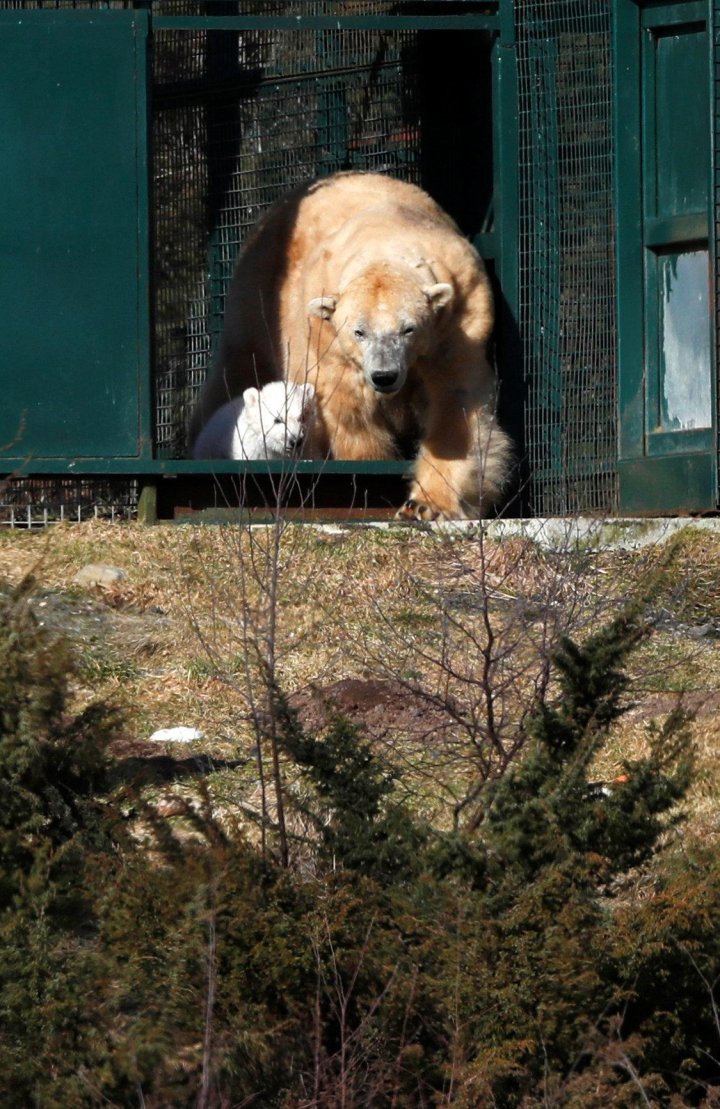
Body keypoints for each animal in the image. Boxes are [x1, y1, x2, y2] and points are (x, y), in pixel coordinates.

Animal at [189, 171, 512, 519]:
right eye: (359, 332)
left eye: (408, 329)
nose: (384, 376)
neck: (385, 236)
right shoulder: (325, 335)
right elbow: (350, 411)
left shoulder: (458, 318)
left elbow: (454, 403)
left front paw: (426, 506)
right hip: (257, 298)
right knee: (238, 367)